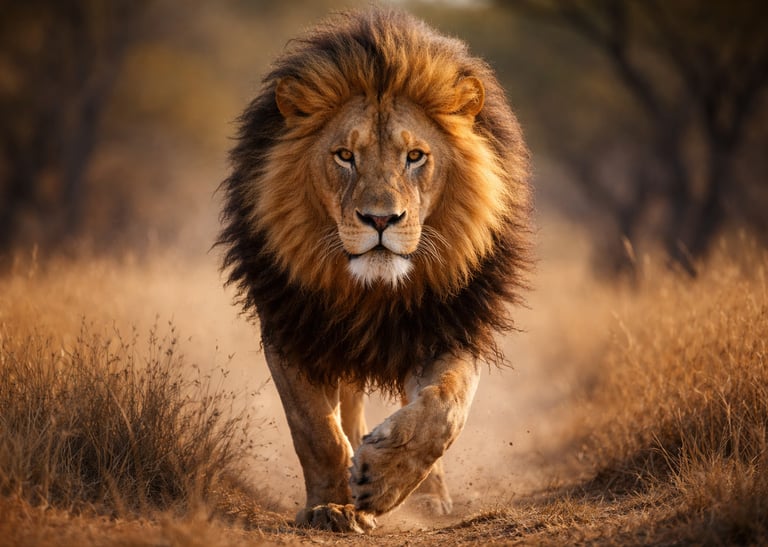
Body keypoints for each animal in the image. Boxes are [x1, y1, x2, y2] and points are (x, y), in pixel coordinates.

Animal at [218, 8, 531, 533]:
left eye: (415, 156)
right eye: (345, 156)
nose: (381, 219)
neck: (373, 292)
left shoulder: (452, 324)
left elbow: (443, 410)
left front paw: (382, 480)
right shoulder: (291, 329)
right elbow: (315, 430)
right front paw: (330, 505)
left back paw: (426, 493)